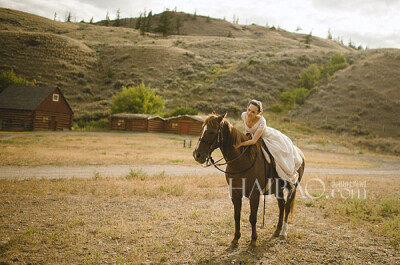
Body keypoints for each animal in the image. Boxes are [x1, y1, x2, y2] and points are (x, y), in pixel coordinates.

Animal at [192, 113, 304, 248]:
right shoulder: (235, 193)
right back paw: (277, 231)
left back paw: (283, 233)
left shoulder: (254, 194)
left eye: (212, 132)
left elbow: (253, 217)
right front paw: (235, 239)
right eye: (202, 130)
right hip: (278, 190)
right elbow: (237, 216)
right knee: (281, 206)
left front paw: (253, 240)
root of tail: (299, 153)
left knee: (287, 207)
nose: (197, 155)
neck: (241, 161)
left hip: (292, 187)